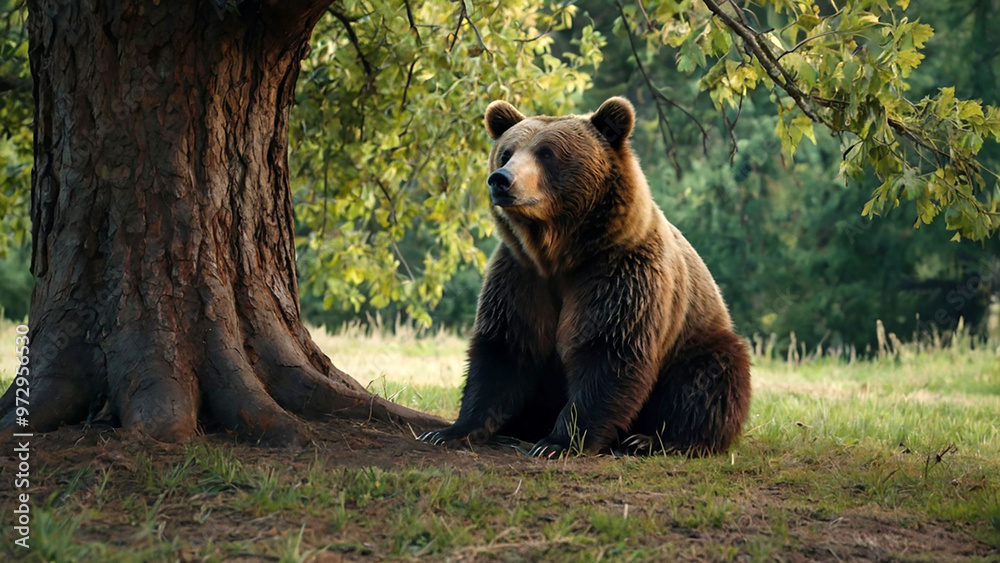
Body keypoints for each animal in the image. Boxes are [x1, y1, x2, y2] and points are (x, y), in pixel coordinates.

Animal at [418, 97, 752, 457]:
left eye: (546, 153)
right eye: (506, 152)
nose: (500, 179)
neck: (560, 252)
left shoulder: (620, 274)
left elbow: (607, 352)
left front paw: (557, 442)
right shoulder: (521, 275)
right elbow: (505, 349)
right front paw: (450, 431)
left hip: (697, 337)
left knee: (708, 380)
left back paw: (654, 439)